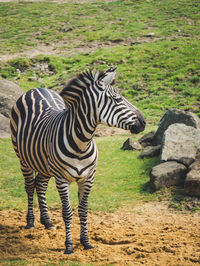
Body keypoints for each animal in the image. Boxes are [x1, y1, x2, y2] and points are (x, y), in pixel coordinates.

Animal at [10, 66, 145, 254]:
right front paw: (69, 246)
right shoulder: (61, 179)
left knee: (40, 185)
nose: (144, 122)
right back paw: (30, 222)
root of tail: (35, 89)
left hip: (44, 164)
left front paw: (86, 242)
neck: (82, 142)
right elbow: (67, 212)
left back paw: (47, 221)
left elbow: (83, 210)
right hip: (24, 159)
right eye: (117, 99)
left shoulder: (88, 178)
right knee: (30, 187)